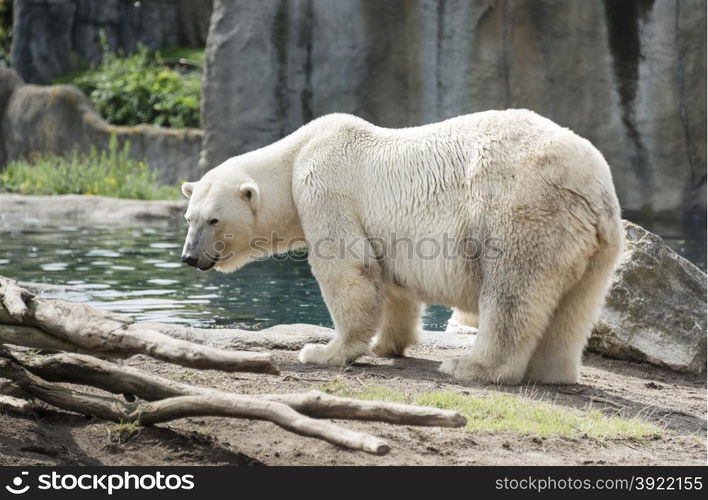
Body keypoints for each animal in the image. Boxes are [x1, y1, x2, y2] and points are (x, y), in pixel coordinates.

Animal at [180, 111, 624, 384]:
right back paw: (552, 371)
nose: (189, 257)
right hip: (598, 245)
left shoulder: (324, 187)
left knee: (512, 291)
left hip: (520, 209)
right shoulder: (385, 232)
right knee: (576, 306)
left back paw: (470, 366)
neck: (296, 154)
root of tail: (592, 186)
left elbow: (347, 267)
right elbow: (392, 284)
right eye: (189, 218)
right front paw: (386, 345)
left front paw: (324, 351)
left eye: (213, 220)